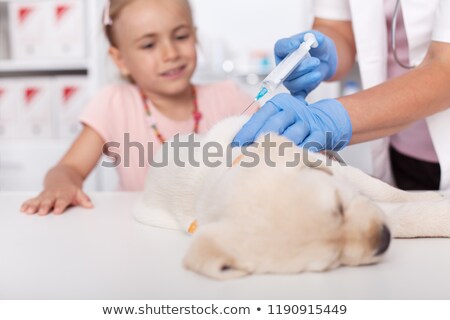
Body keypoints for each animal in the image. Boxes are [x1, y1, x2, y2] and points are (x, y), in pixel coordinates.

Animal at [134, 116, 450, 278]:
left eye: (339, 206)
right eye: (333, 261)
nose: (383, 239)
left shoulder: (343, 176)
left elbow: (387, 191)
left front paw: (436, 199)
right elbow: (407, 216)